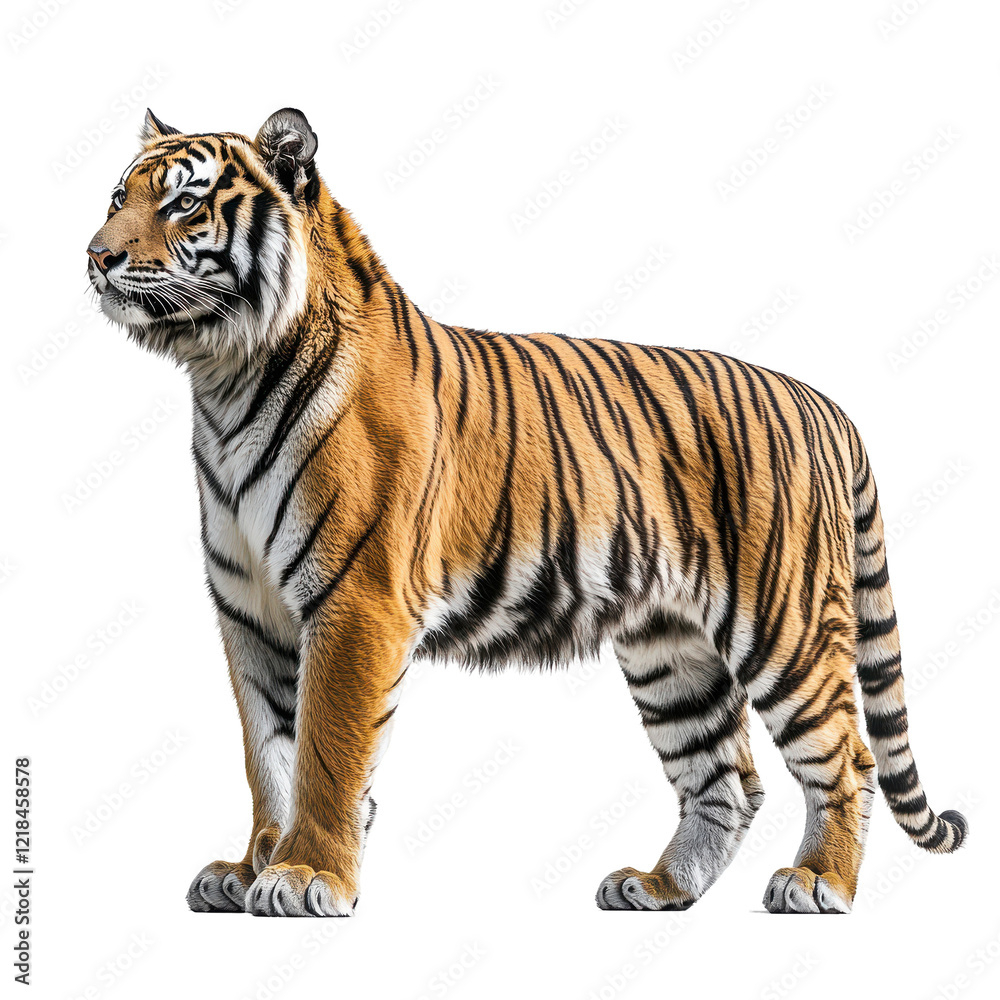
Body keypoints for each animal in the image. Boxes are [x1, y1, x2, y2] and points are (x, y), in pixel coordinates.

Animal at [86, 108, 966, 918]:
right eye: (119, 196)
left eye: (183, 204)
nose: (96, 256)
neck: (226, 376)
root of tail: (823, 403)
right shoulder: (251, 610)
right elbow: (266, 754)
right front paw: (250, 869)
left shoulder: (353, 601)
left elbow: (325, 751)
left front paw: (305, 877)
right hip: (670, 648)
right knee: (726, 778)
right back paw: (658, 887)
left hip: (783, 624)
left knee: (846, 756)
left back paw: (819, 882)